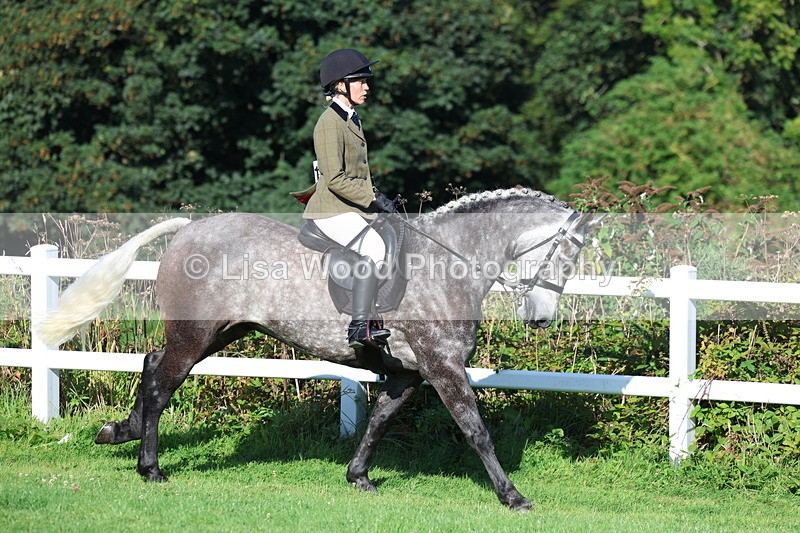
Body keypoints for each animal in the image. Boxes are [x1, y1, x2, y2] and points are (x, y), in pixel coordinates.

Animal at [38, 188, 600, 512]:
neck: (448, 264)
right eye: (567, 252)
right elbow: (475, 430)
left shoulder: (408, 372)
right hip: (196, 333)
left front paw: (359, 477)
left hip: (223, 331)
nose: (541, 317)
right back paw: (150, 467)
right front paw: (513, 496)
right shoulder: (443, 367)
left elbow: (379, 421)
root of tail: (190, 229)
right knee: (161, 383)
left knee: (153, 365)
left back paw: (120, 432)